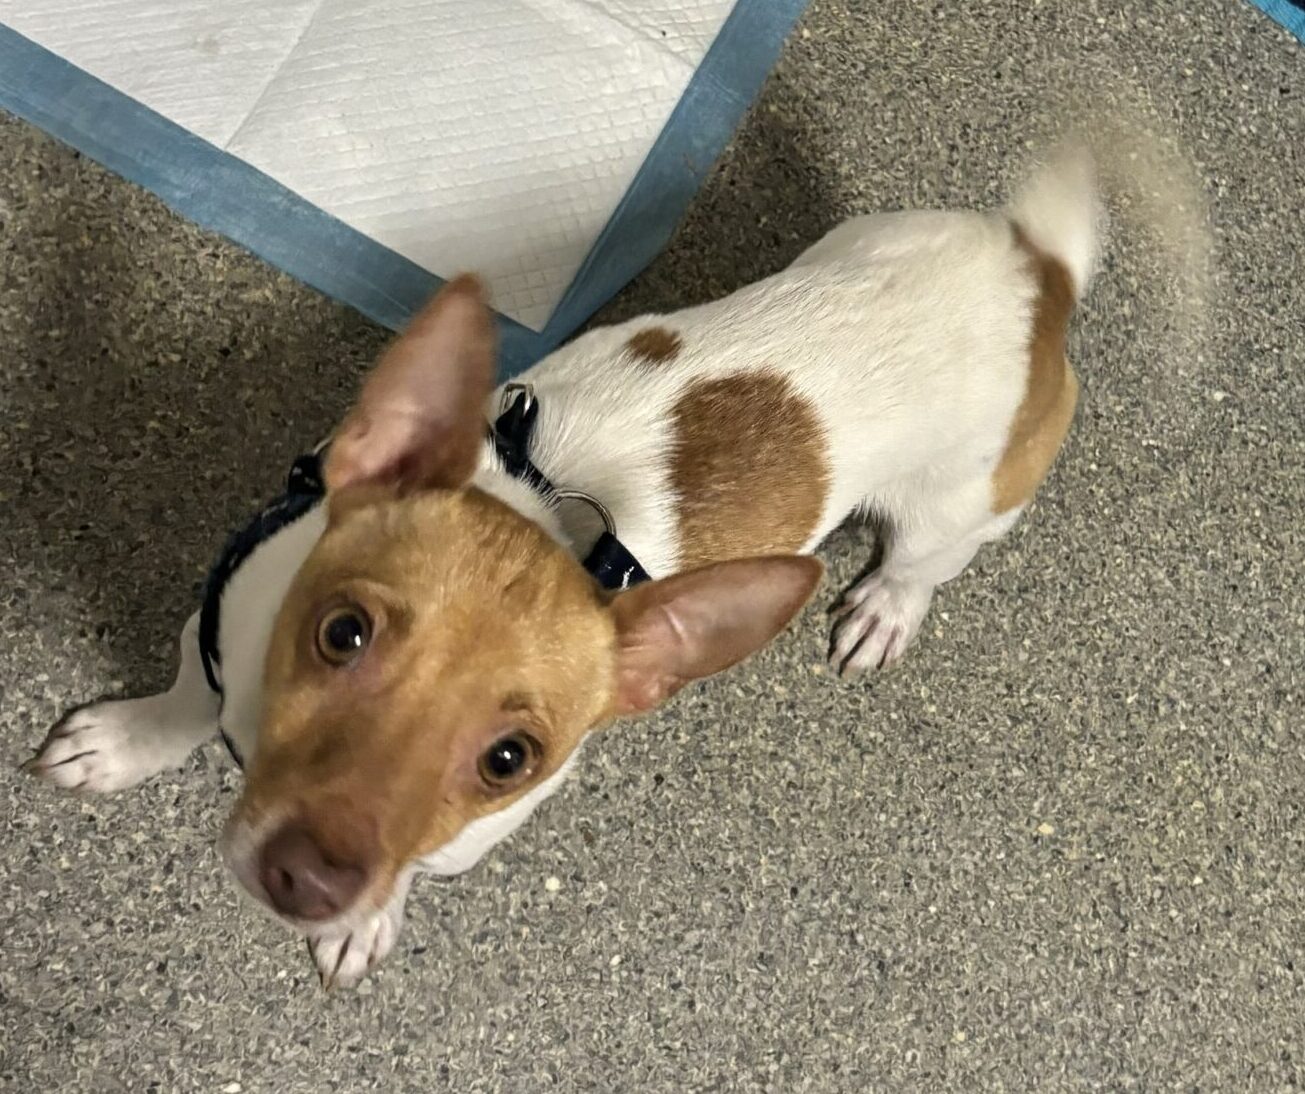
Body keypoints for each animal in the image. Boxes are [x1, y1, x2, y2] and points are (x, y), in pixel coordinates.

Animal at [26, 147, 1099, 987]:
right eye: (342, 633)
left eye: (509, 762)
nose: (309, 881)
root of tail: (1036, 274)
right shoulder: (218, 623)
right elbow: (182, 702)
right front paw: (122, 743)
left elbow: (411, 868)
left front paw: (367, 918)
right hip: (853, 241)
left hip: (960, 510)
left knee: (921, 565)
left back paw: (884, 608)